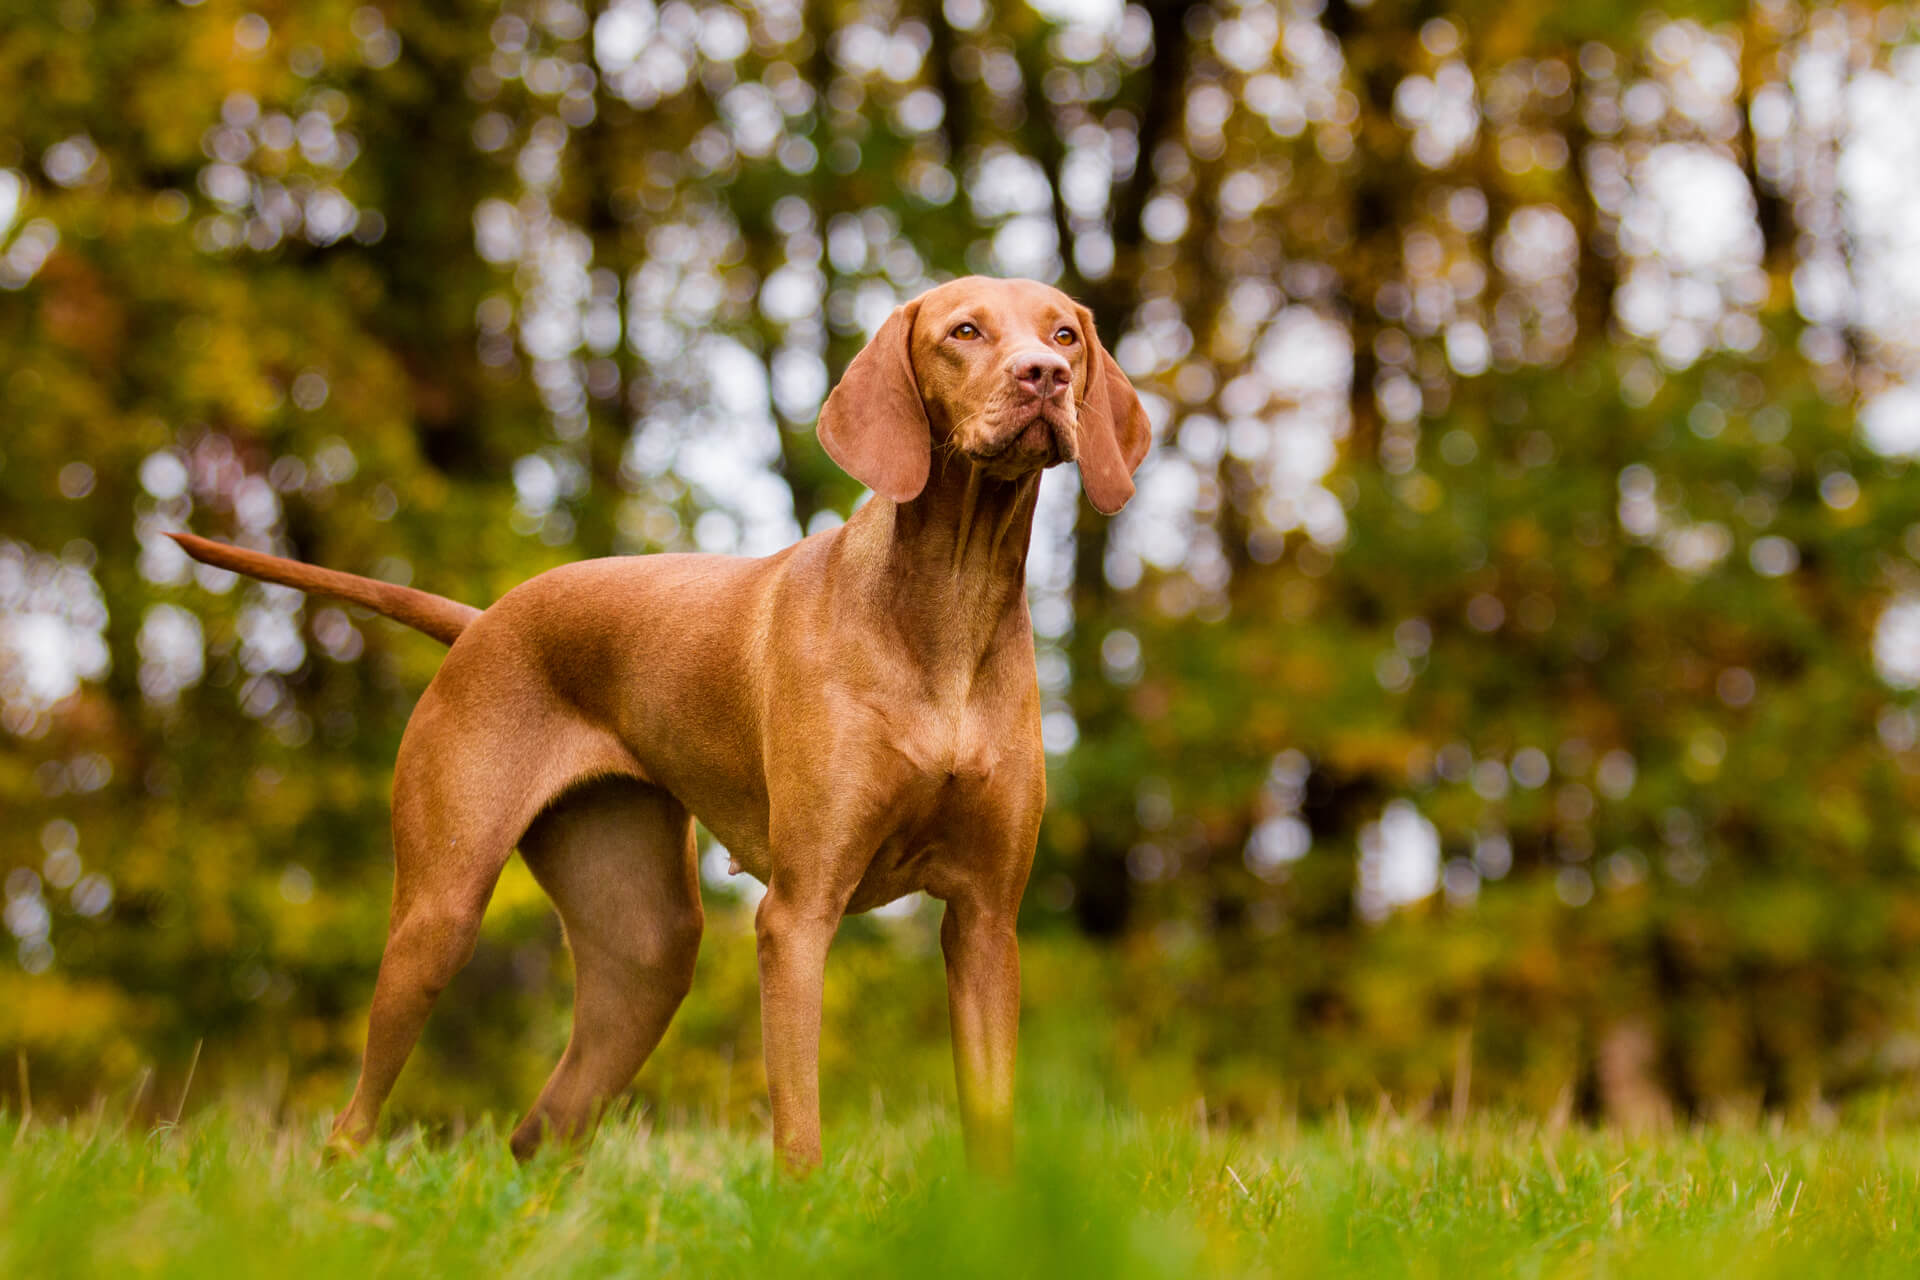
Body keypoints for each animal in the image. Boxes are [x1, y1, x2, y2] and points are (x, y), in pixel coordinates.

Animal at [168, 278, 1136, 1174]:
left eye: (1064, 335)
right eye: (965, 331)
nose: (1045, 377)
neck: (950, 609)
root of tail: (482, 620)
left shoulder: (985, 922)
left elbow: (992, 1120)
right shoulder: (798, 914)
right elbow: (799, 1126)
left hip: (646, 949)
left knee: (539, 1131)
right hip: (439, 915)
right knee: (355, 1119)